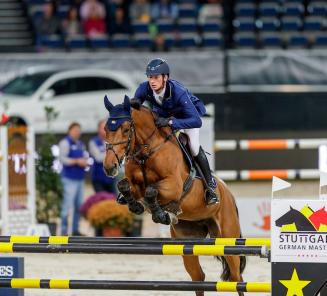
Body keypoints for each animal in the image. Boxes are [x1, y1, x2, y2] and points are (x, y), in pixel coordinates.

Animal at [104, 96, 247, 294]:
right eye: (105, 129)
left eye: (126, 130)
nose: (109, 167)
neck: (147, 152)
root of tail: (229, 195)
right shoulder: (134, 184)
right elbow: (124, 185)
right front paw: (138, 206)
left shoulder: (174, 186)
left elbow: (151, 190)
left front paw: (160, 214)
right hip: (188, 242)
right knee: (198, 277)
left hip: (227, 238)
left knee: (236, 278)